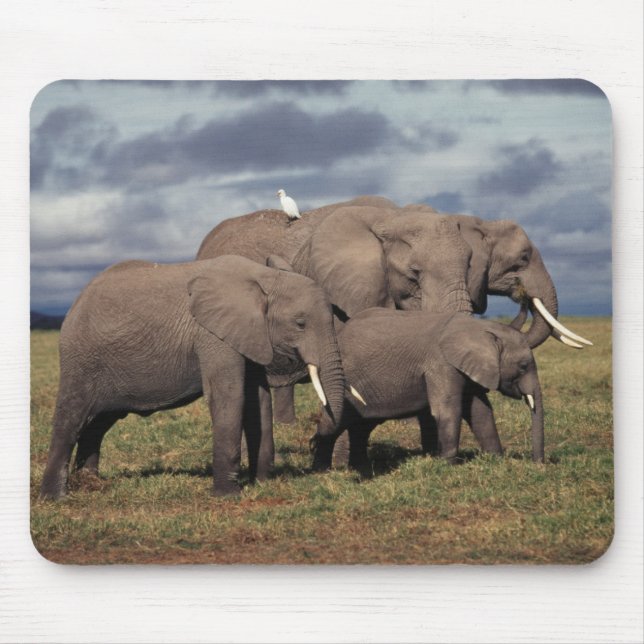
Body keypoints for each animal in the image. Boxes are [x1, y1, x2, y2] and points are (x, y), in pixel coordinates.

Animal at [39, 255, 345, 500]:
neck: (263, 277)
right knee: (72, 417)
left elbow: (257, 400)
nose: (313, 444)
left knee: (97, 423)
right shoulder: (211, 334)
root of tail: (75, 302)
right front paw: (227, 496)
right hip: (81, 358)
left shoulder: (250, 335)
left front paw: (262, 484)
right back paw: (56, 497)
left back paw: (89, 483)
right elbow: (229, 395)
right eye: (300, 324)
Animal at [311, 309, 545, 475]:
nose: (539, 464)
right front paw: (448, 466)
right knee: (335, 422)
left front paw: (496, 459)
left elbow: (480, 412)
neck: (480, 328)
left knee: (362, 427)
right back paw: (321, 470)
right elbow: (448, 411)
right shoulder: (441, 364)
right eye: (523, 366)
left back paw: (362, 467)